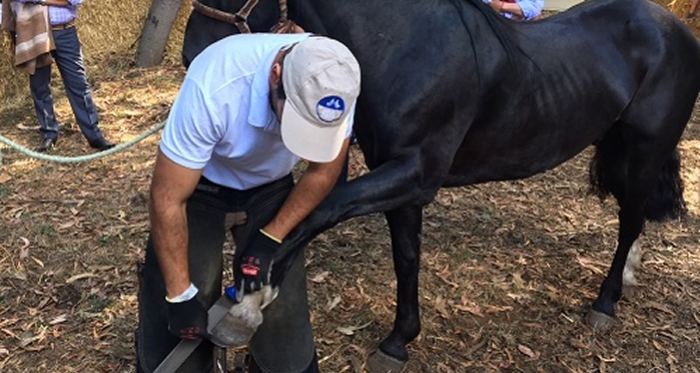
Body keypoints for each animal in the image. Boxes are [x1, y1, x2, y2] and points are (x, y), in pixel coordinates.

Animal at [182, 0, 700, 370]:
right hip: (618, 145)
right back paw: (628, 275)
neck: (405, 46)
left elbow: (318, 213)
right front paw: (398, 341)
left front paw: (250, 298)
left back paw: (606, 303)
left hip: (647, 148)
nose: (193, 53)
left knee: (630, 219)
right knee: (633, 214)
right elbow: (404, 255)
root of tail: (672, 27)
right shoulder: (398, 178)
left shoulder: (414, 174)